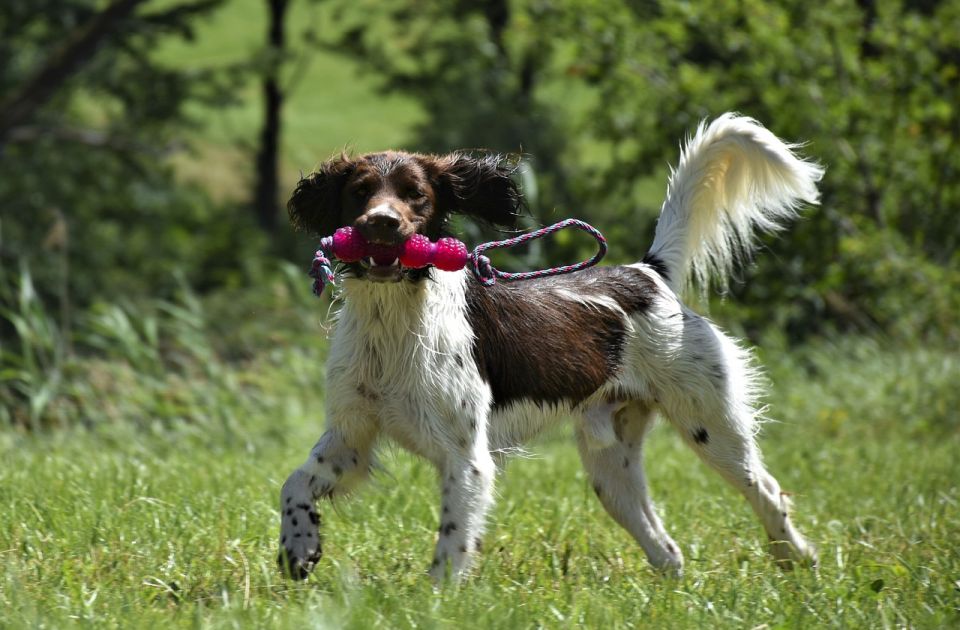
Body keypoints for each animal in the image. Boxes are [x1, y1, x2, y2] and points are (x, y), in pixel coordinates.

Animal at [276, 113, 824, 584]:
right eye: (360, 193)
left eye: (415, 195)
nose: (382, 222)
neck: (391, 320)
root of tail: (646, 273)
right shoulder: (350, 435)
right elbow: (294, 484)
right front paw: (299, 547)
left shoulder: (466, 458)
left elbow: (452, 543)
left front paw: (436, 600)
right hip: (611, 466)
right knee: (665, 546)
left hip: (711, 424)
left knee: (767, 491)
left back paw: (797, 559)